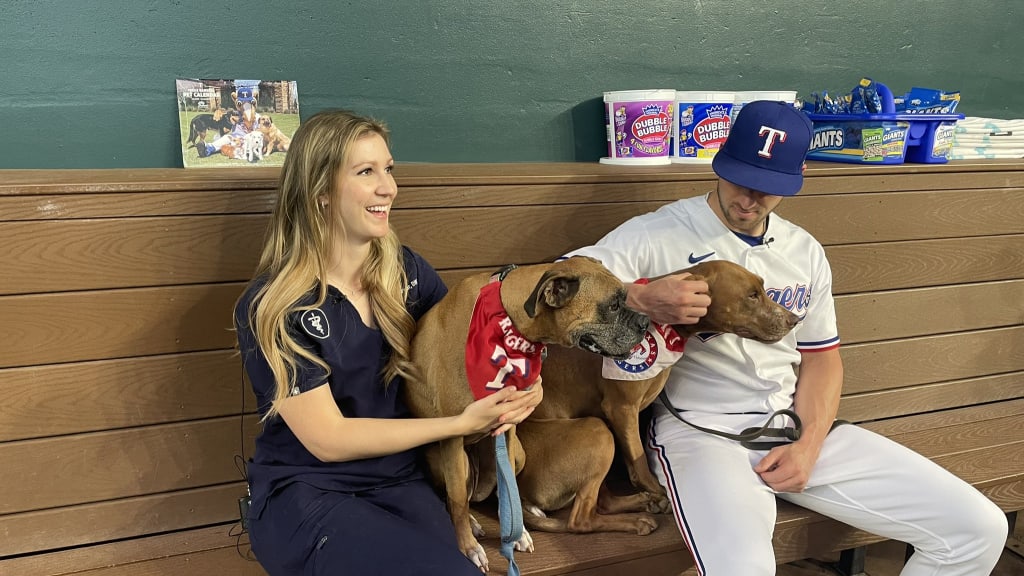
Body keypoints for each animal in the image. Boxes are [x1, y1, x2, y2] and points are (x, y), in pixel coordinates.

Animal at [401, 255, 647, 569]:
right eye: (613, 306)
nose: (645, 321)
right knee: (458, 498)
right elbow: (456, 499)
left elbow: (509, 491)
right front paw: (468, 547)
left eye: (625, 298)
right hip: (454, 459)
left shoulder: (508, 428)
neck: (509, 321)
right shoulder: (453, 438)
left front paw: (515, 534)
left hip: (518, 454)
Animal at [512, 258, 798, 532]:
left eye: (762, 288)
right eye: (752, 295)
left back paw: (644, 504)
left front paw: (648, 492)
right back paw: (637, 519)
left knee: (602, 502)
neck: (664, 327)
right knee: (580, 519)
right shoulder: (621, 408)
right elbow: (639, 460)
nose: (795, 320)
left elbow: (632, 459)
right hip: (596, 431)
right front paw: (656, 489)